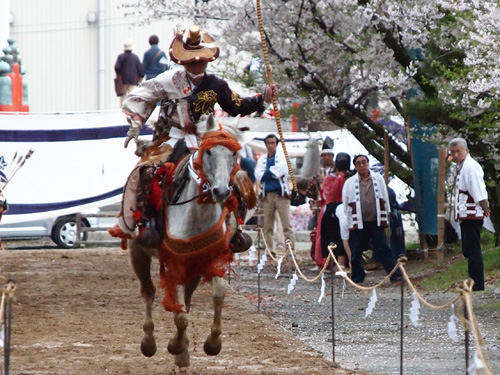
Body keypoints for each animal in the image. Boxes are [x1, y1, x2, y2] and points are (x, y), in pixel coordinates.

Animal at [127, 114, 256, 368]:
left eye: (234, 155)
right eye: (208, 152)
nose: (221, 191)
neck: (198, 214)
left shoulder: (211, 258)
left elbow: (218, 294)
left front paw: (212, 343)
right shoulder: (174, 263)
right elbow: (180, 316)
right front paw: (174, 345)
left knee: (187, 296)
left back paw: (183, 353)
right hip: (138, 251)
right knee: (148, 292)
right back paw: (149, 343)